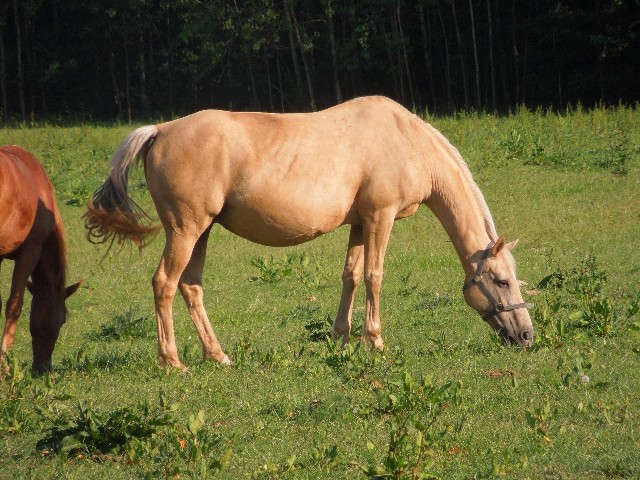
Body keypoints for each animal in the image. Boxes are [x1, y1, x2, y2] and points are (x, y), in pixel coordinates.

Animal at [85, 96, 533, 371]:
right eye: (501, 280)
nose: (526, 335)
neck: (407, 141)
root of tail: (161, 129)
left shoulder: (360, 224)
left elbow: (351, 277)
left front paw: (341, 339)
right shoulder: (380, 218)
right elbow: (374, 277)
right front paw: (375, 342)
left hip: (201, 232)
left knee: (190, 287)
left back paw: (218, 356)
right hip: (185, 230)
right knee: (164, 283)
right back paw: (172, 361)